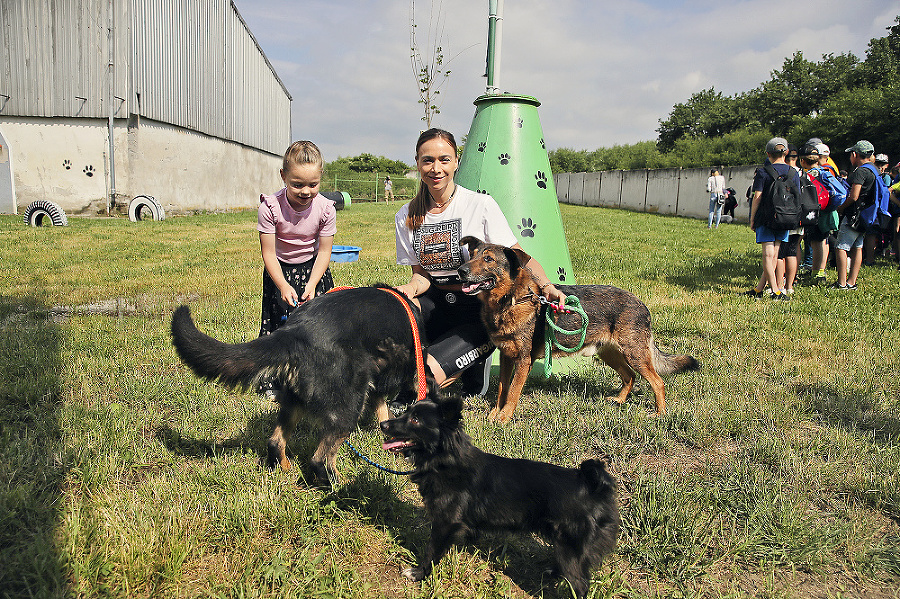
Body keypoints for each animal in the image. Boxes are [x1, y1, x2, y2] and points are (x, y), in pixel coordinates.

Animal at [175, 284, 432, 486]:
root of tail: (294, 331)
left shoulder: (377, 383)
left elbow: (382, 412)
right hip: (348, 408)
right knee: (319, 460)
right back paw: (341, 486)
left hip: (294, 402)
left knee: (275, 442)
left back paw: (285, 469)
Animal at [380, 394, 620, 599]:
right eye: (405, 412)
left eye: (415, 420)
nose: (383, 424)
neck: (444, 460)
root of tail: (593, 487)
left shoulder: (445, 523)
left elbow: (431, 551)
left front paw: (419, 573)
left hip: (570, 548)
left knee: (580, 584)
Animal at [460, 237, 700, 424]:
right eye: (472, 255)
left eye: (488, 259)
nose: (461, 271)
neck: (511, 300)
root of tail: (641, 304)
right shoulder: (507, 357)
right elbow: (502, 390)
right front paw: (495, 414)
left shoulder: (523, 361)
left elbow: (512, 393)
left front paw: (504, 418)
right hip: (610, 354)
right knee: (629, 376)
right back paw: (619, 400)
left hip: (635, 354)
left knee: (657, 382)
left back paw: (660, 414)